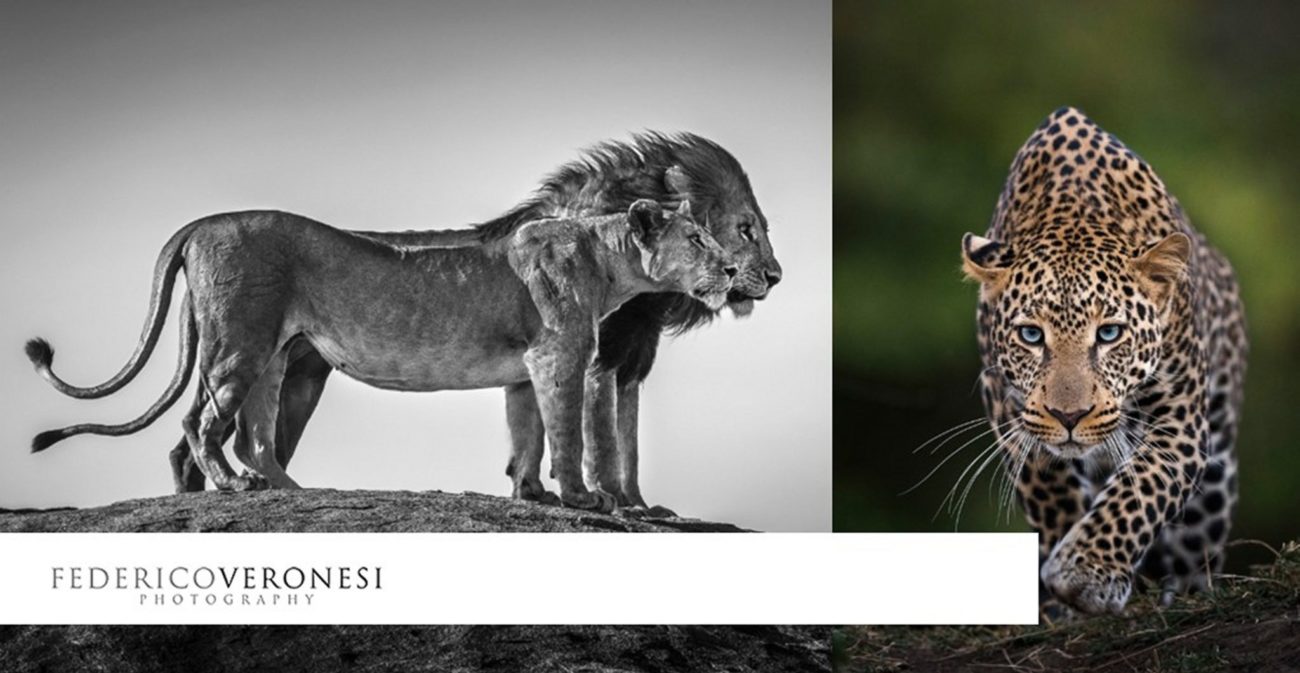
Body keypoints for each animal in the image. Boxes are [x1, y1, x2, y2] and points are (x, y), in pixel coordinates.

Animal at [26, 199, 736, 513]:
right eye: (697, 238)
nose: (732, 268)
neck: (607, 258)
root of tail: (202, 223)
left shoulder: (526, 369)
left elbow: (527, 433)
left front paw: (531, 494)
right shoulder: (560, 354)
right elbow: (566, 434)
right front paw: (585, 499)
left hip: (271, 353)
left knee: (249, 433)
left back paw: (280, 489)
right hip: (241, 342)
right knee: (200, 423)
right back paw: (234, 486)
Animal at [960, 106, 1246, 614]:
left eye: (1109, 333)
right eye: (1031, 335)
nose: (1069, 416)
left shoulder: (1181, 423)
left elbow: (1143, 487)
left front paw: (1086, 573)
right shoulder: (1011, 410)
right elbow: (1049, 487)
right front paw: (1066, 585)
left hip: (1215, 475)